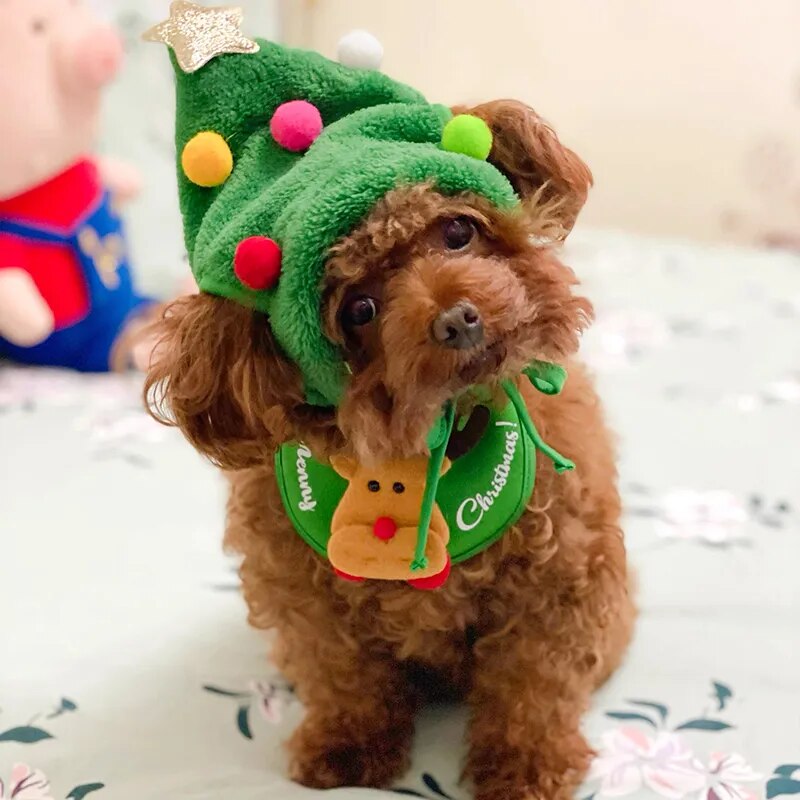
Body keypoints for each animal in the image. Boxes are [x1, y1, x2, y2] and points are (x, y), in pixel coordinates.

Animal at [147, 100, 636, 800]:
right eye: (359, 309)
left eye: (457, 231)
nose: (457, 318)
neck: (430, 446)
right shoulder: (309, 602)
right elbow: (345, 679)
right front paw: (350, 751)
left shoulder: (557, 584)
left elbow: (531, 687)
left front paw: (524, 767)